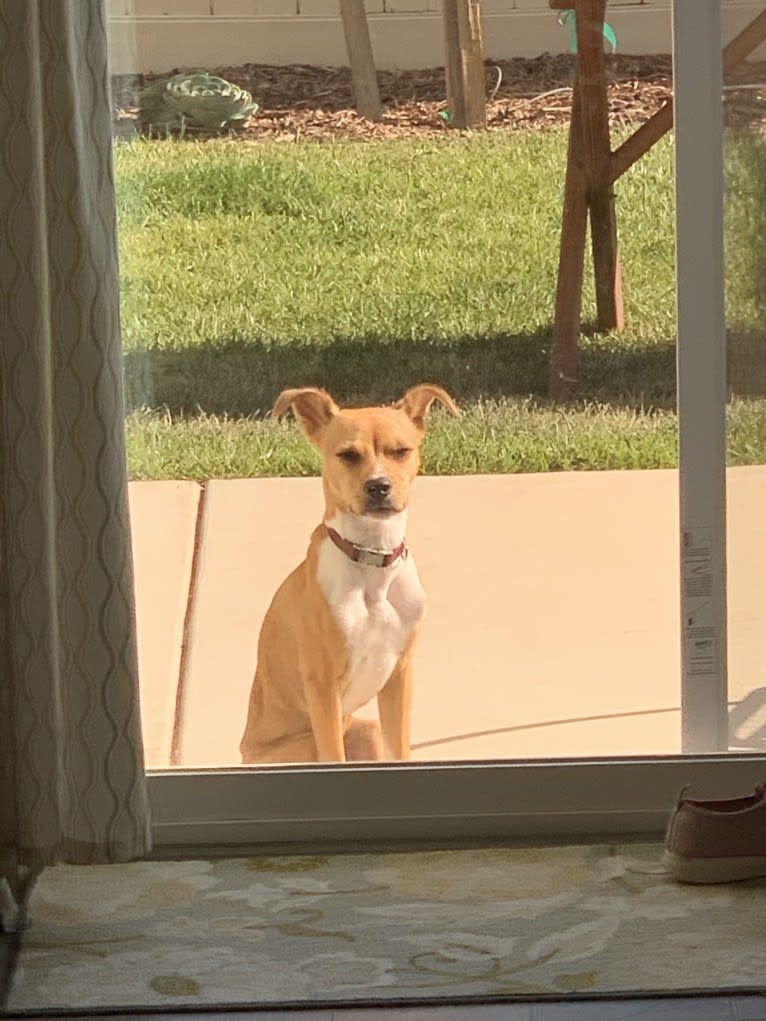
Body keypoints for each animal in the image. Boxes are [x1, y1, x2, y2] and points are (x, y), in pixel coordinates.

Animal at [241, 383, 455, 767]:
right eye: (348, 455)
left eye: (401, 451)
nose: (379, 486)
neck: (372, 562)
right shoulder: (323, 685)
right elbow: (333, 755)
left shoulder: (400, 676)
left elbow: (400, 749)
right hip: (302, 746)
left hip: (366, 731)